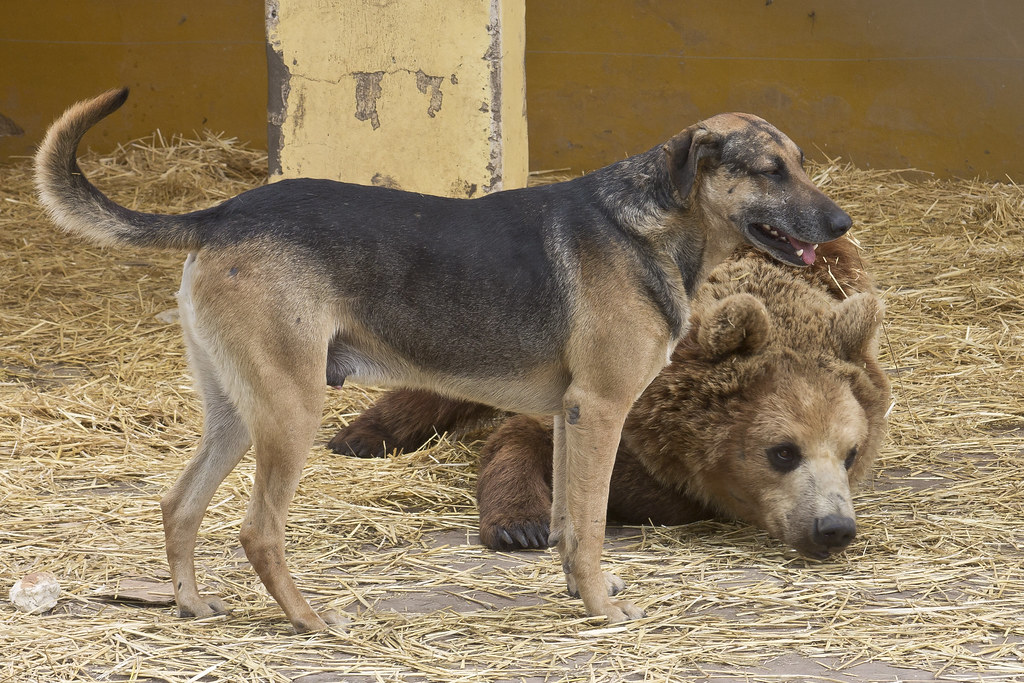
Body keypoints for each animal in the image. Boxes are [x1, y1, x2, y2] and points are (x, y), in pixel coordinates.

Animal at [328, 237, 890, 560]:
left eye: (851, 452)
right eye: (783, 451)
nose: (834, 527)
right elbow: (525, 438)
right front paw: (521, 526)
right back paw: (360, 435)